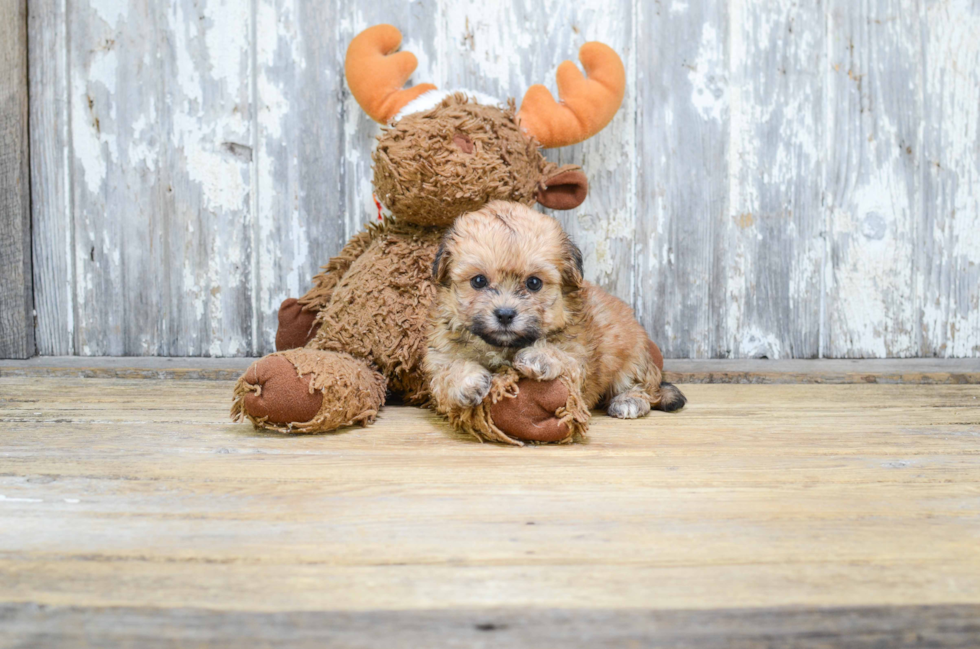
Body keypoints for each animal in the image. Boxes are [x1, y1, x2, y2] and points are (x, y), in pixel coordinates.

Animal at [424, 200, 684, 438]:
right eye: (478, 281)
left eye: (534, 283)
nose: (505, 314)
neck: (502, 347)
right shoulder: (438, 356)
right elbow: (445, 370)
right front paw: (467, 380)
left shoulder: (579, 356)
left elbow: (564, 356)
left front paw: (539, 356)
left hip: (632, 359)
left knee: (643, 388)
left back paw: (629, 401)